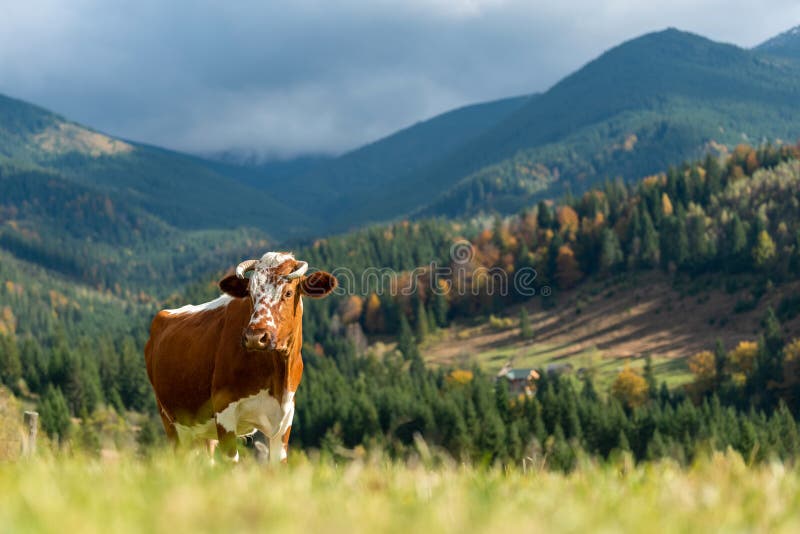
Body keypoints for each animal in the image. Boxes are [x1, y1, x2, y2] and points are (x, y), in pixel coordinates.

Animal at [145, 252, 336, 464]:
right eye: (251, 294)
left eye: (288, 292)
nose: (254, 337)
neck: (278, 374)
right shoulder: (224, 412)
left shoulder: (284, 418)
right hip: (171, 422)